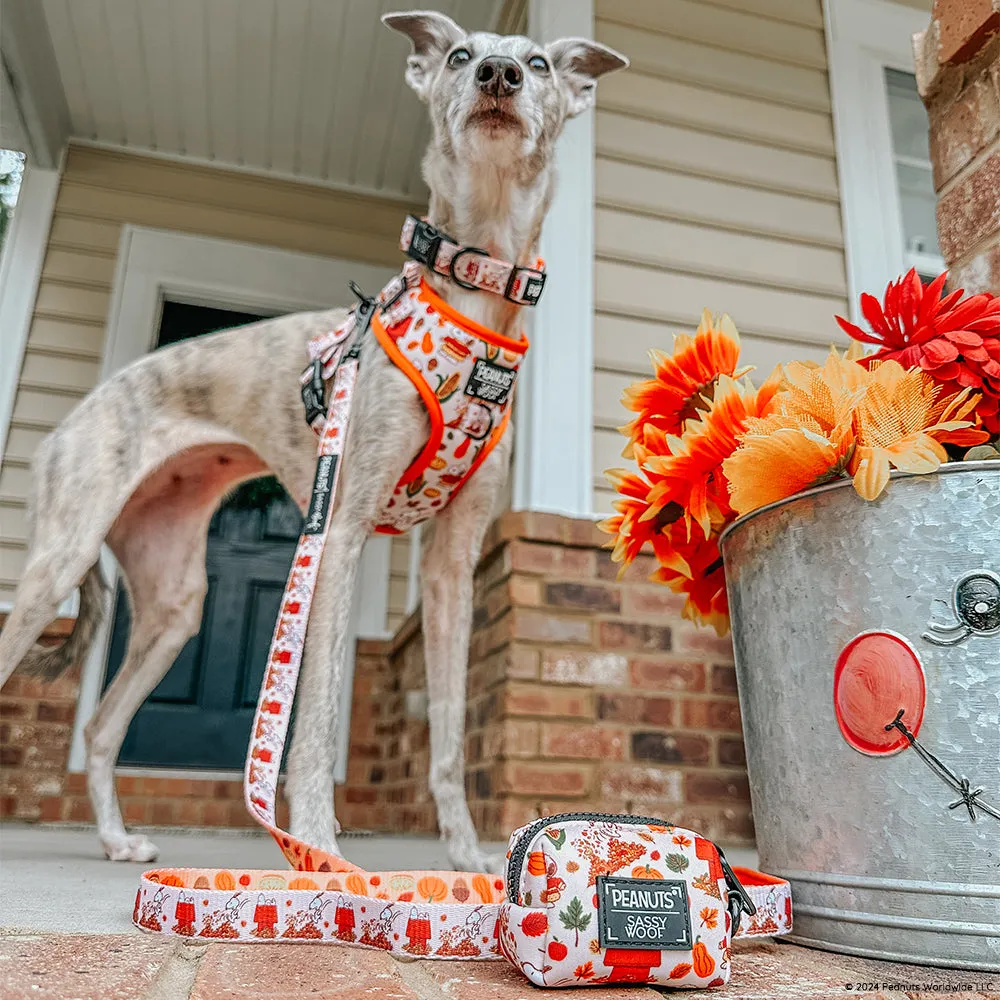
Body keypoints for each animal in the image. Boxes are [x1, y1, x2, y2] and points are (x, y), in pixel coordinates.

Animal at [0, 7, 624, 872]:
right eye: (460, 56)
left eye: (536, 63)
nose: (497, 77)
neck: (472, 301)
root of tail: (67, 421)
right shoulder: (342, 531)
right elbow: (317, 720)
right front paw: (322, 853)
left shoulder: (452, 565)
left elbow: (448, 731)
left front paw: (466, 859)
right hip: (58, 560)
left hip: (173, 602)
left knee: (98, 726)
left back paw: (118, 838)